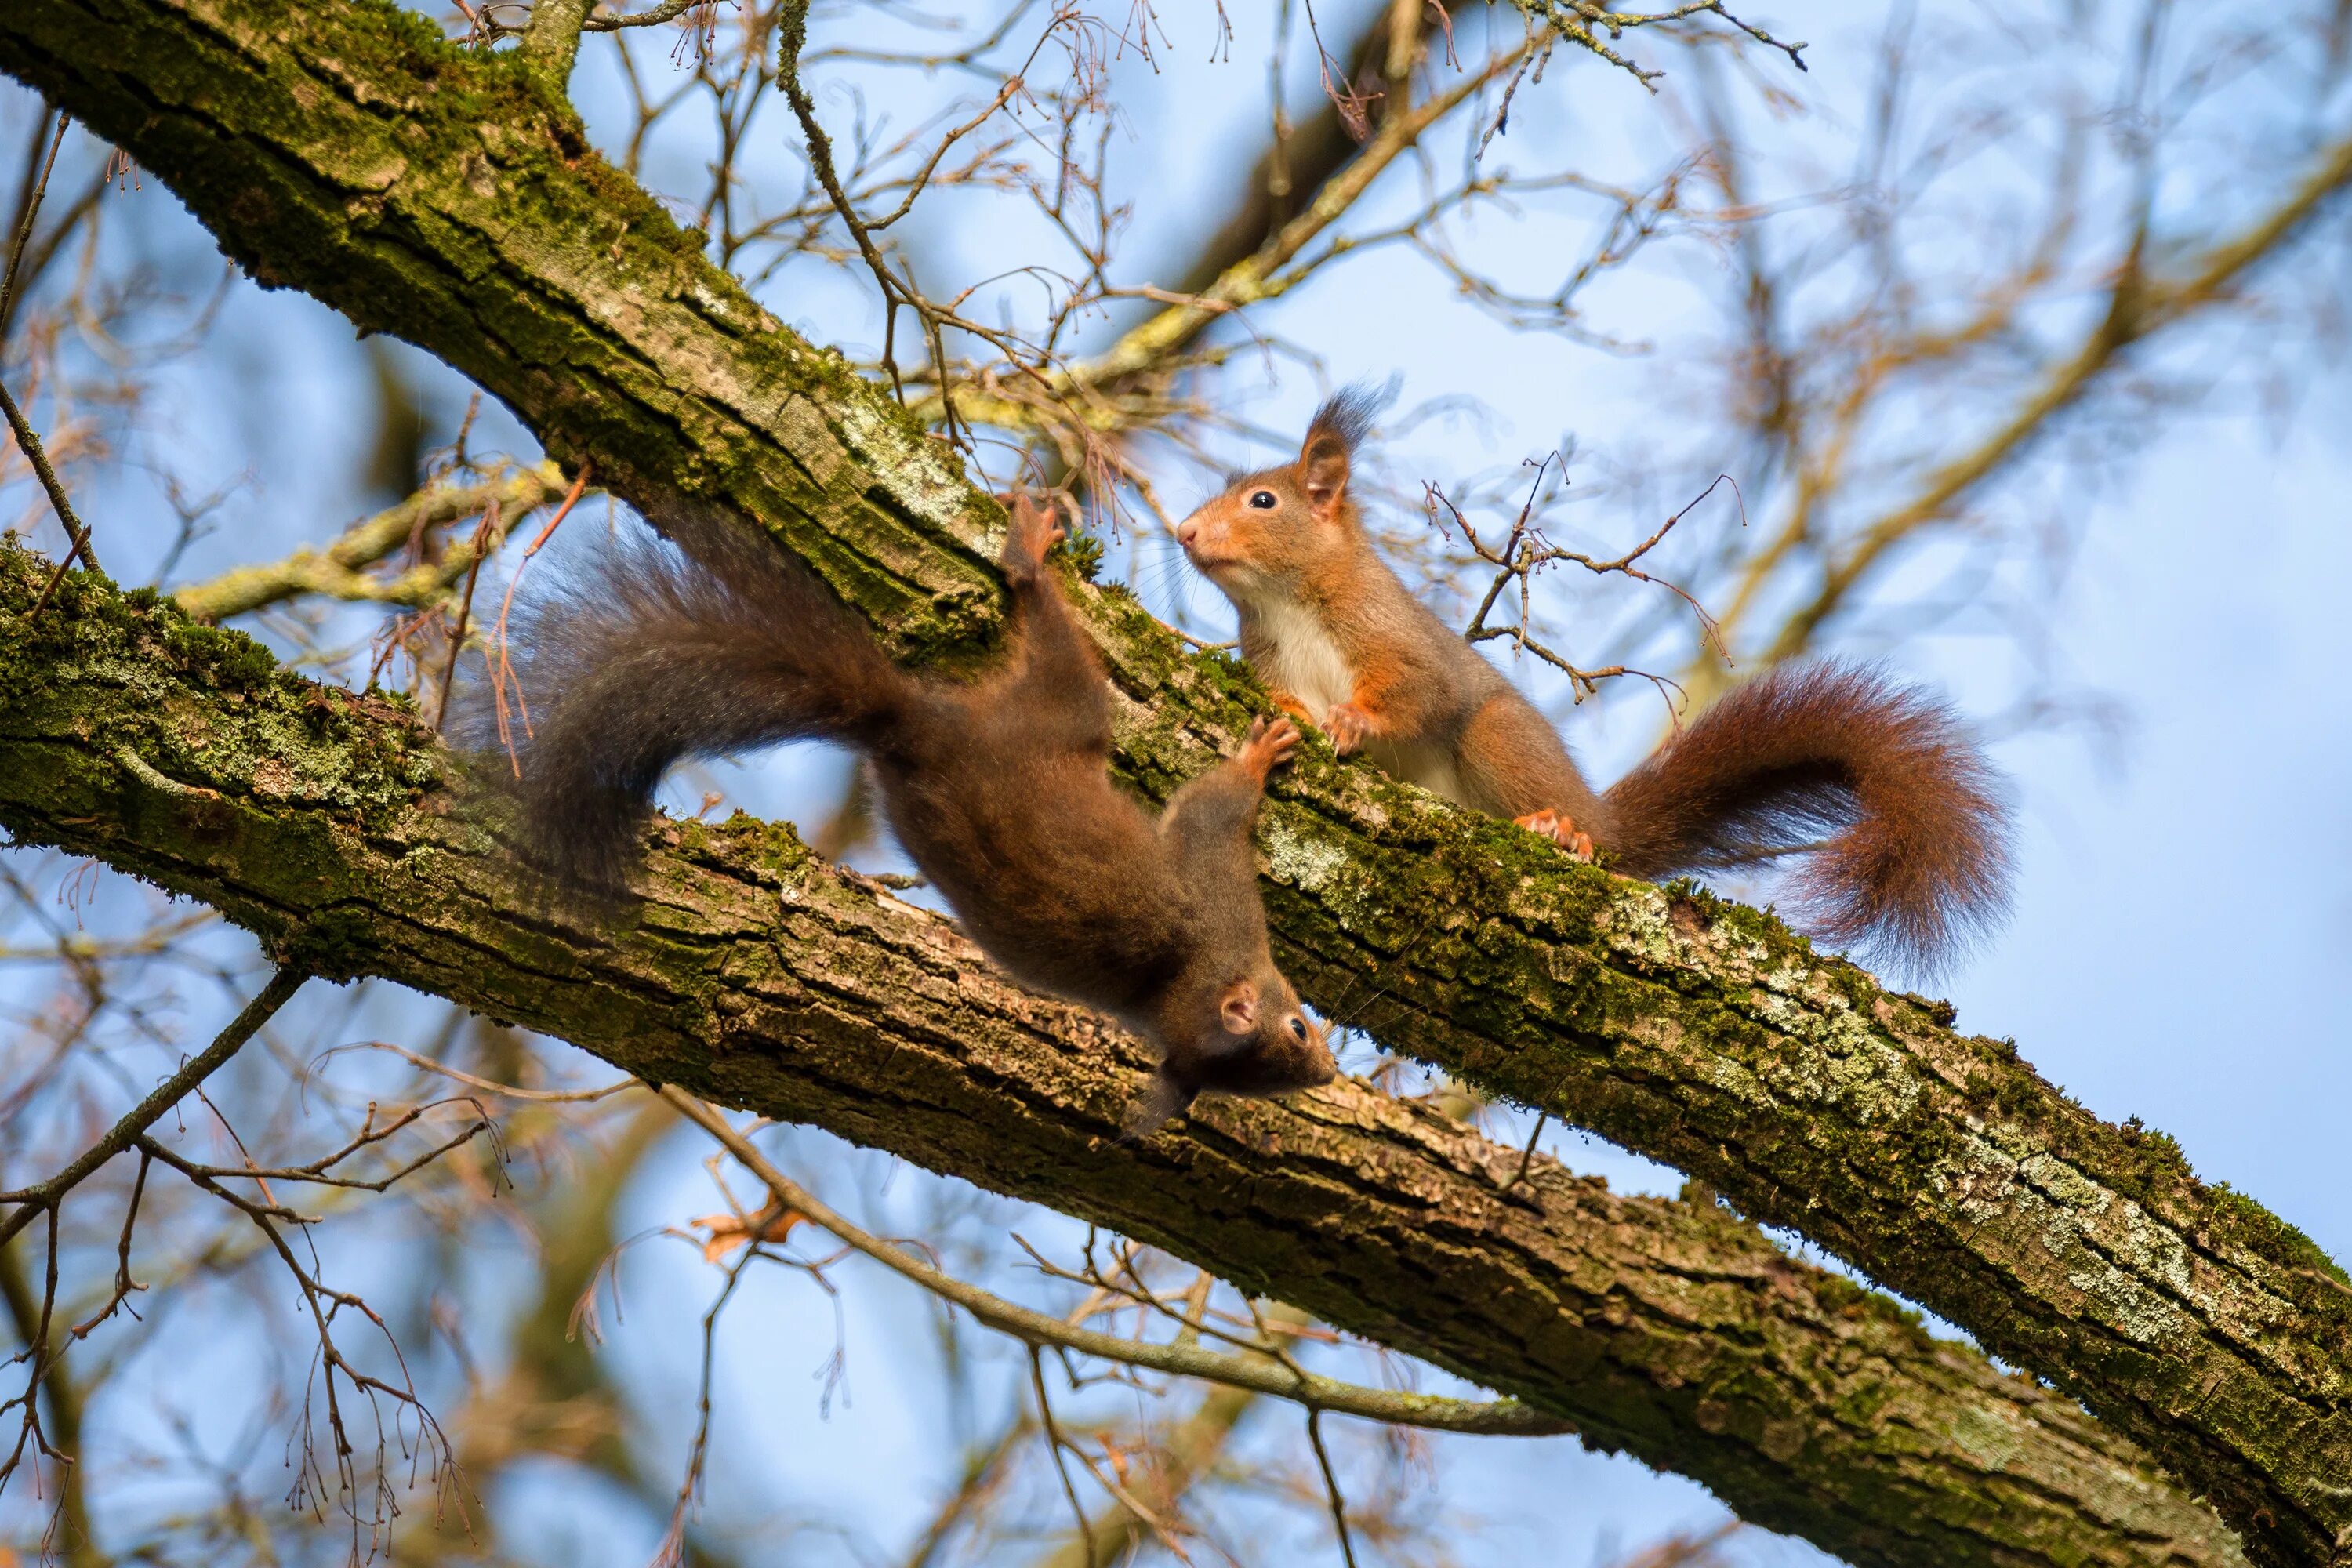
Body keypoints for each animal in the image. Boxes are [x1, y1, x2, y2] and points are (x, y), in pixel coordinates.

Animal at [482, 493, 1327, 1128]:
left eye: (1280, 1075)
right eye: (1297, 1026)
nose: (1325, 1069)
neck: (1185, 983)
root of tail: (913, 729)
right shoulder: (1215, 882)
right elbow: (1215, 804)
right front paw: (1260, 756)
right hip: (1064, 713)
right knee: (1057, 648)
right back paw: (1029, 552)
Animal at [1185, 394, 2013, 968]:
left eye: (1264, 501)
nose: (1184, 532)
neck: (1287, 601)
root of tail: (1600, 814)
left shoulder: (1398, 639)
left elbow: (1421, 695)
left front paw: (1355, 722)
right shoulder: (1267, 657)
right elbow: (1281, 697)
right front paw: (1292, 721)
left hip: (1500, 740)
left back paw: (1564, 832)